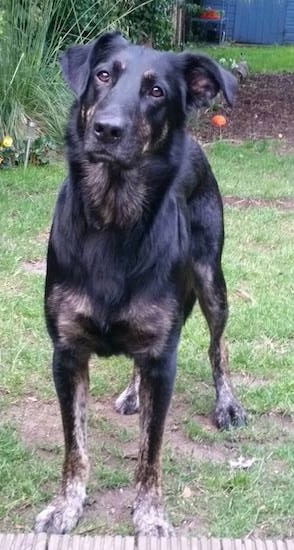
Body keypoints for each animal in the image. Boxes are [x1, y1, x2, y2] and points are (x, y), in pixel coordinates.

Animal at [34, 31, 246, 540]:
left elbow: (150, 453)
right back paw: (133, 393)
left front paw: (150, 514)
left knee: (218, 346)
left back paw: (227, 403)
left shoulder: (161, 361)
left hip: (211, 281)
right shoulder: (66, 354)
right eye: (102, 75)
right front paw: (66, 505)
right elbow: (74, 444)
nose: (107, 129)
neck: (114, 220)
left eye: (156, 92)